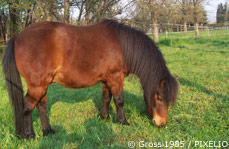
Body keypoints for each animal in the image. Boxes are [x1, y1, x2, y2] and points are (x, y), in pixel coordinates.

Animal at [2, 19, 179, 139]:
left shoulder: (107, 80)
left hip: (42, 85)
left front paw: (104, 118)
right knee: (27, 107)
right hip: (37, 86)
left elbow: (106, 98)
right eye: (160, 97)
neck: (122, 46)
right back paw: (29, 135)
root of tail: (16, 38)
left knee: (41, 106)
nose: (162, 123)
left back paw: (48, 131)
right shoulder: (116, 78)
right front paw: (122, 121)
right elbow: (119, 100)